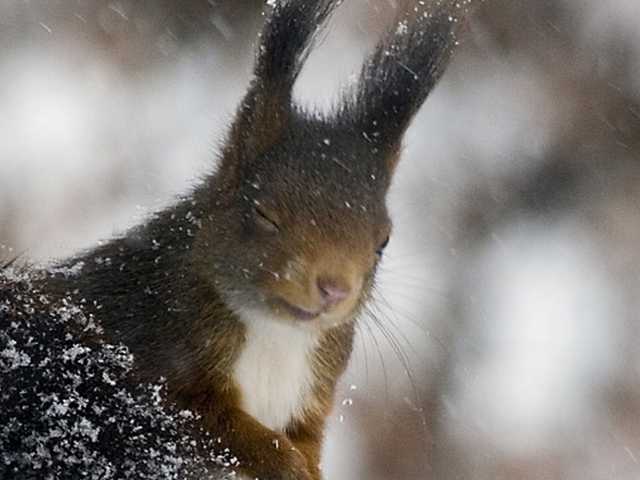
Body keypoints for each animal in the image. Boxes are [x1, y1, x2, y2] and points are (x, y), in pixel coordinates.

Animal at [0, 0, 472, 480]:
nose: (335, 289)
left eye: (384, 241)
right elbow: (218, 424)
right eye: (264, 214)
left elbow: (307, 443)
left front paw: (307, 467)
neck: (278, 335)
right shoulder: (156, 353)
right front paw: (285, 463)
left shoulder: (312, 399)